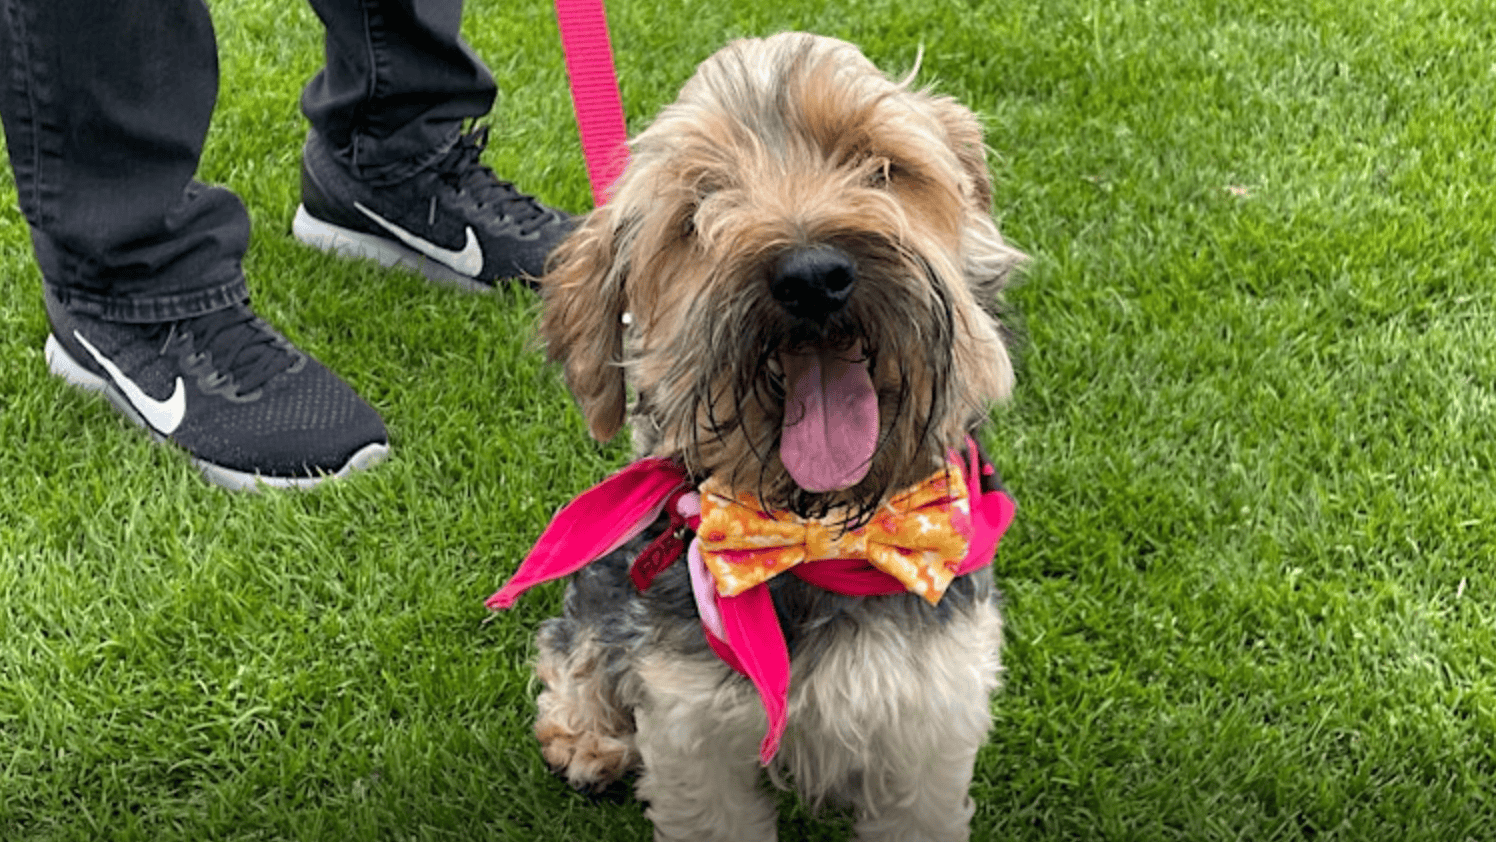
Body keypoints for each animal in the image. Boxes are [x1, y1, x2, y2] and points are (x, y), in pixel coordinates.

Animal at [490, 32, 1029, 842]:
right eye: (697, 209)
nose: (811, 275)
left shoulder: (928, 719)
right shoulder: (693, 729)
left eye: (880, 166)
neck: (824, 534)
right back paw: (587, 738)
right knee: (573, 645)